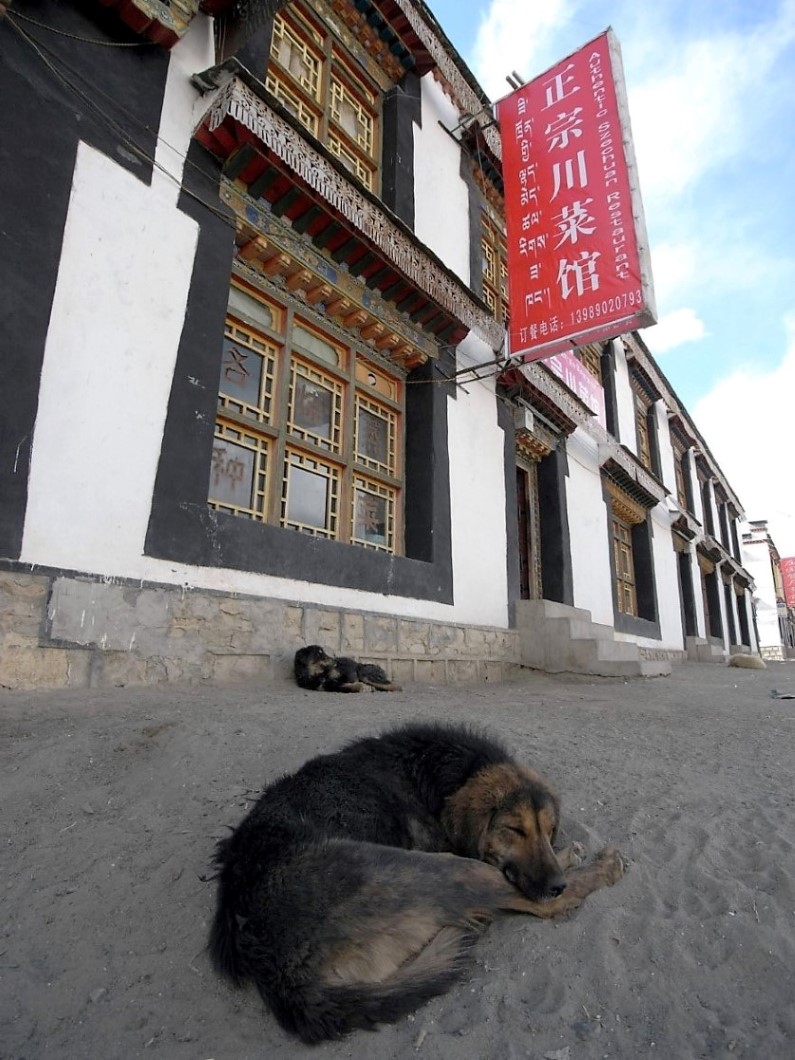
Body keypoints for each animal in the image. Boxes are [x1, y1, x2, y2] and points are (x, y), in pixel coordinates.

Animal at [208, 720, 627, 1043]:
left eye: (548, 829)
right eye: (514, 830)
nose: (555, 884)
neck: (447, 777)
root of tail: (278, 971)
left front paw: (567, 853)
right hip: (442, 868)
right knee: (535, 903)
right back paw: (601, 868)